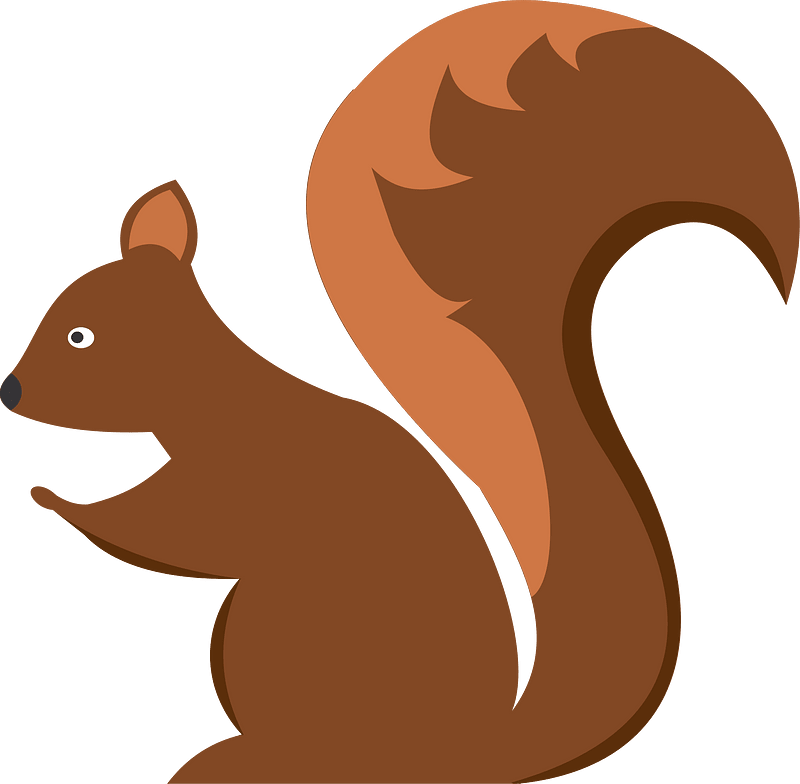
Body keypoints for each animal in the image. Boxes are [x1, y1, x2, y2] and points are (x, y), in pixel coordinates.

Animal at [2, 1, 797, 782]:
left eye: (80, 337)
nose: (8, 390)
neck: (219, 395)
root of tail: (469, 749)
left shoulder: (243, 480)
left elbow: (174, 528)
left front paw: (57, 499)